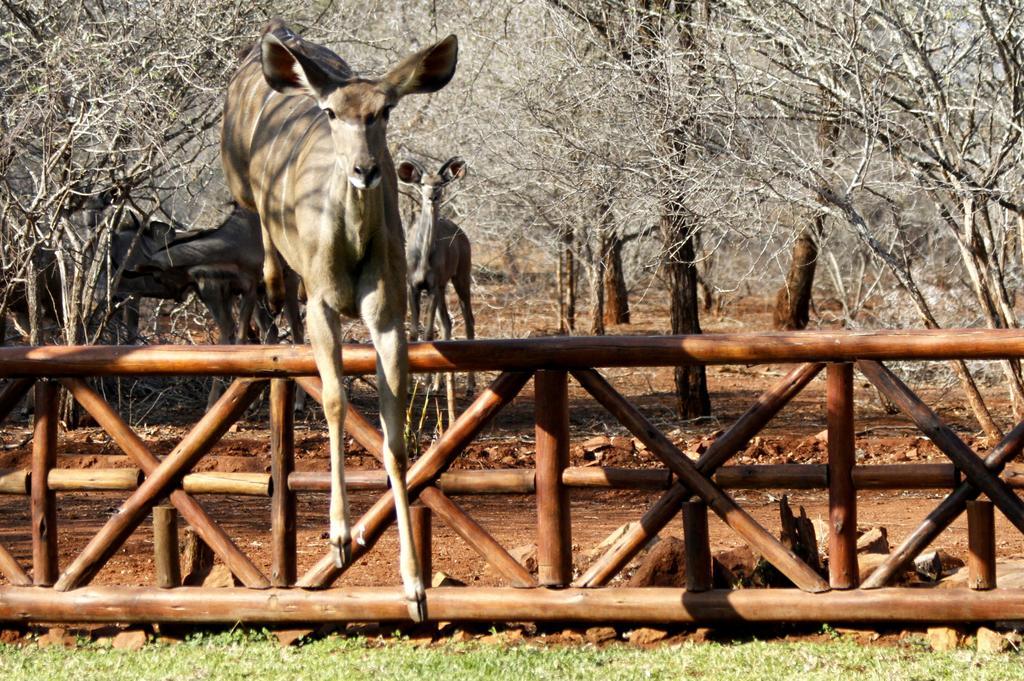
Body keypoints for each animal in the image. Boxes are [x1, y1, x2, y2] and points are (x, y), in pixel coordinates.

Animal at [222, 19, 458, 622]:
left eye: (385, 110)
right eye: (331, 113)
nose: (364, 170)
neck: (351, 245)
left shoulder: (389, 317)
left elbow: (395, 440)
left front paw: (414, 584)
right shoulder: (325, 310)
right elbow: (333, 400)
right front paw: (338, 535)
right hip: (239, 184)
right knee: (262, 236)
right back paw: (272, 291)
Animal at [395, 155, 475, 409]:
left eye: (440, 183)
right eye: (422, 183)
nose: (432, 196)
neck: (422, 257)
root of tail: (461, 235)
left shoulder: (431, 287)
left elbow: (428, 333)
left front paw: (426, 382)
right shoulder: (413, 286)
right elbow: (414, 332)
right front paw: (410, 386)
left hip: (460, 278)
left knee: (468, 320)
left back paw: (469, 387)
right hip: (443, 288)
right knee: (447, 323)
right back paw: (441, 386)